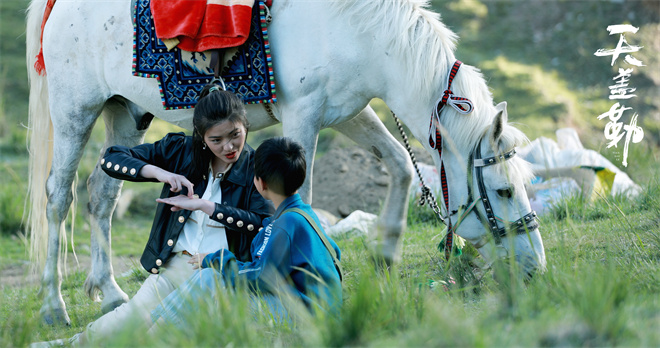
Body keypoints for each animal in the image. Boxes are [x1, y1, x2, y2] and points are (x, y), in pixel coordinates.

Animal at [25, 0, 548, 324]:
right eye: (503, 190)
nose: (534, 267)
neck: (357, 29)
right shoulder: (304, 114)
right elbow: (303, 196)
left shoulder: (348, 110)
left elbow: (399, 162)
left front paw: (385, 253)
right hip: (75, 110)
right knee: (58, 197)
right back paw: (53, 306)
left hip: (127, 110)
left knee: (103, 192)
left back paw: (110, 292)